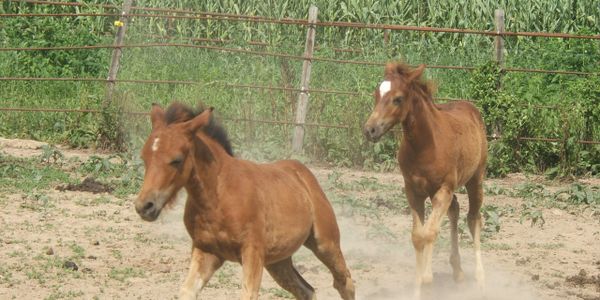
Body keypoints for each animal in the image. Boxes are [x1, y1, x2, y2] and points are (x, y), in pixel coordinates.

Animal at [134, 103, 354, 300]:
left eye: (176, 160)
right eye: (144, 157)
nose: (144, 206)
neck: (218, 197)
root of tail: (302, 171)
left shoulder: (252, 252)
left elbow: (248, 294)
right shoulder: (205, 251)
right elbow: (187, 291)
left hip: (326, 243)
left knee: (345, 282)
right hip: (278, 261)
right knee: (307, 290)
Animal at [360, 62, 488, 296]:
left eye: (398, 98)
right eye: (377, 93)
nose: (370, 129)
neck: (426, 145)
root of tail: (471, 108)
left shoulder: (443, 190)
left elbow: (428, 233)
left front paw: (427, 280)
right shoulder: (413, 192)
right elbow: (418, 236)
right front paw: (419, 285)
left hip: (475, 179)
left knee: (473, 218)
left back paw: (480, 280)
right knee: (455, 210)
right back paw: (457, 271)